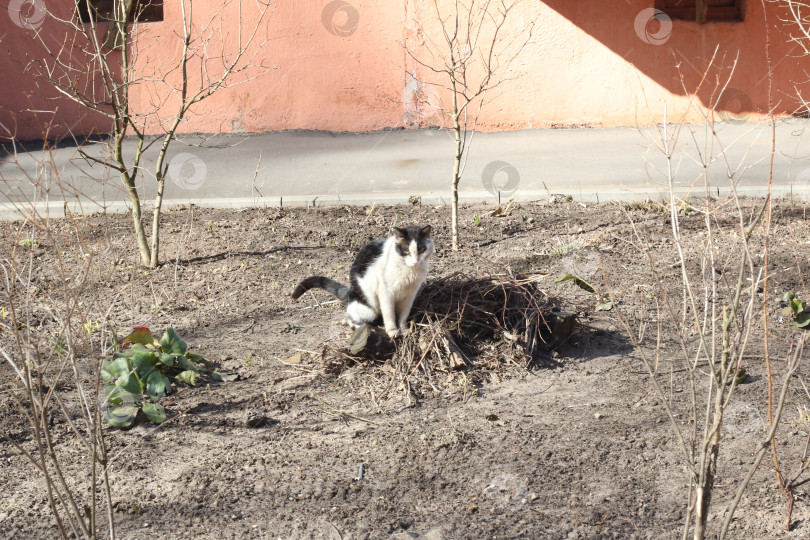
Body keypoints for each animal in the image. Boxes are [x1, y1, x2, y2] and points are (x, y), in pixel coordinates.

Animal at [288, 225, 432, 338]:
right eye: (406, 251)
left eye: (421, 250)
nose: (415, 261)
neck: (410, 272)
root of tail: (350, 292)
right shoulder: (386, 293)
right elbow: (389, 315)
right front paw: (392, 331)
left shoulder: (410, 295)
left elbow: (403, 315)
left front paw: (404, 329)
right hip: (368, 308)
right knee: (351, 319)